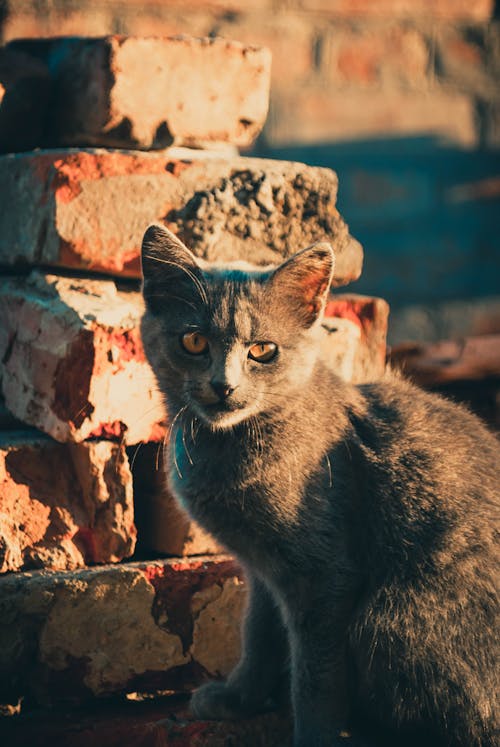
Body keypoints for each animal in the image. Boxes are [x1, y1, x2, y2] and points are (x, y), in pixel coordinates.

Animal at [139, 224, 498, 747]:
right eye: (193, 340)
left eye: (262, 350)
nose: (223, 386)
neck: (229, 447)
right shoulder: (261, 567)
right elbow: (259, 634)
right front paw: (238, 697)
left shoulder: (324, 575)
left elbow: (315, 676)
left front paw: (314, 734)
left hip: (392, 617)